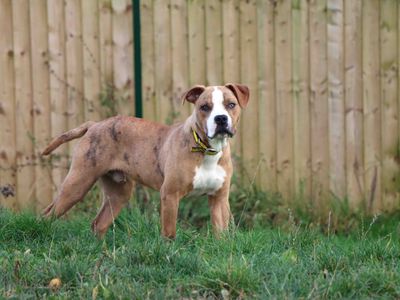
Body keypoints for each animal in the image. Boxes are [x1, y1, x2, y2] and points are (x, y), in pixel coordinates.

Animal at [43, 83, 250, 238]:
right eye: (204, 107)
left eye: (231, 104)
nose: (221, 119)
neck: (207, 150)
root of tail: (94, 125)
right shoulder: (170, 195)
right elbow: (169, 233)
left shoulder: (219, 198)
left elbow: (221, 232)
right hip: (77, 183)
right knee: (48, 215)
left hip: (118, 193)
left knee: (98, 224)